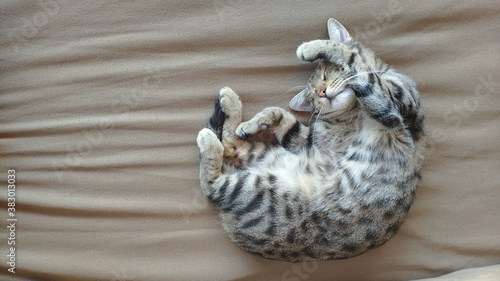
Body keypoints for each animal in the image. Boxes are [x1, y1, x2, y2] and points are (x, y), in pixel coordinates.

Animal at [197, 18, 424, 262]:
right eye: (313, 95)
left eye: (324, 73)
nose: (322, 92)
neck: (353, 114)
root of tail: (235, 230)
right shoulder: (316, 143)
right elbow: (283, 117)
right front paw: (253, 123)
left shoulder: (396, 106)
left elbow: (354, 60)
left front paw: (314, 47)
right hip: (264, 176)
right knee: (216, 175)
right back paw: (227, 112)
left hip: (263, 175)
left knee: (220, 168)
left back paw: (217, 127)